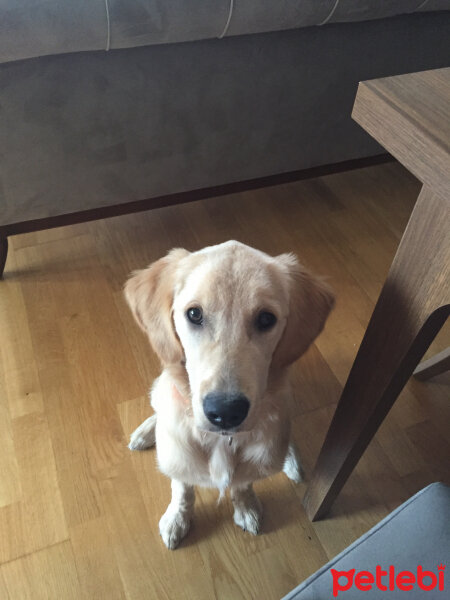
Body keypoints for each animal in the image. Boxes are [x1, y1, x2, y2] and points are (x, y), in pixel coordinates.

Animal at [125, 239, 332, 548]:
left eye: (266, 319)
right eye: (194, 314)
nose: (225, 412)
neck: (222, 440)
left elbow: (243, 482)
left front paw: (245, 506)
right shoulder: (180, 459)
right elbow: (182, 488)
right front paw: (177, 518)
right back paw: (146, 432)